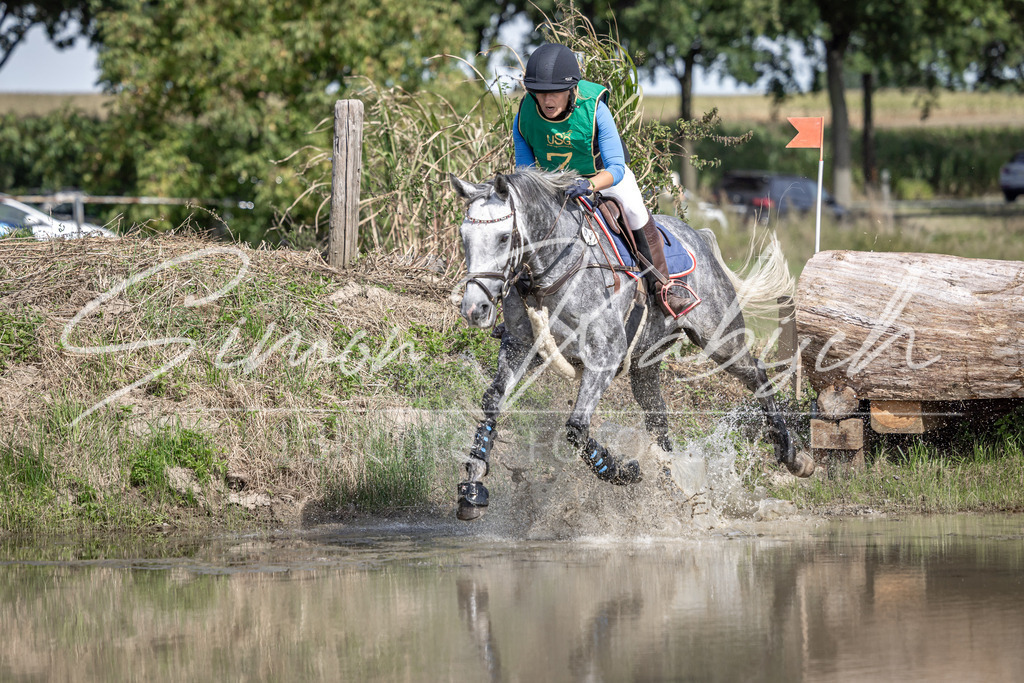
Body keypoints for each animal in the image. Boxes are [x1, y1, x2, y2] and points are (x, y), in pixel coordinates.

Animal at [450, 167, 814, 521]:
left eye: (503, 237)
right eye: (464, 237)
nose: (474, 309)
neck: (550, 272)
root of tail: (698, 236)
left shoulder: (605, 355)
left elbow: (576, 428)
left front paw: (621, 471)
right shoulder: (520, 347)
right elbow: (493, 402)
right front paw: (473, 488)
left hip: (719, 337)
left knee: (757, 374)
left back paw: (792, 456)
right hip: (645, 362)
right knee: (658, 420)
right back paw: (672, 482)